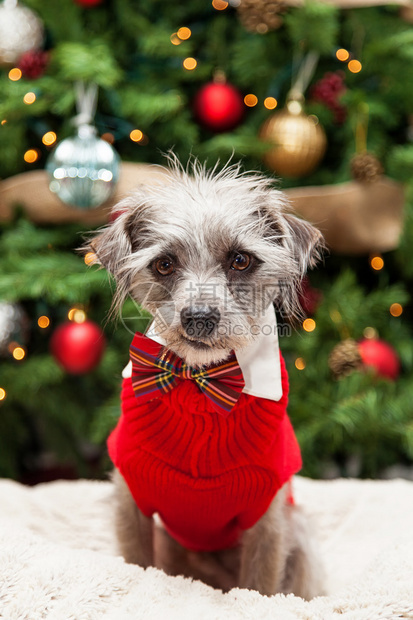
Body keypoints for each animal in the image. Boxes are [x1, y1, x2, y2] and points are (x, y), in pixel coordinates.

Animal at [87, 157, 326, 600]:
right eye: (164, 264)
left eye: (241, 260)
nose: (199, 317)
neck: (198, 386)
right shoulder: (131, 501)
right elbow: (136, 564)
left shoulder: (268, 519)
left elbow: (260, 586)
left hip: (300, 536)